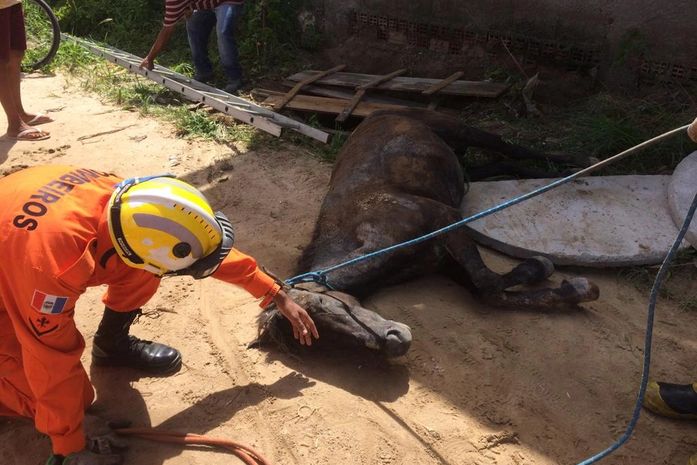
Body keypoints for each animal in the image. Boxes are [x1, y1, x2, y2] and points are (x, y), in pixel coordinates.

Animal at [256, 109, 599, 357]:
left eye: (323, 305)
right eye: (319, 342)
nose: (396, 342)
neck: (366, 231)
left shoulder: (447, 220)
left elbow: (486, 282)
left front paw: (554, 274)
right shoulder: (443, 260)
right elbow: (488, 289)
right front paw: (566, 286)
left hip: (461, 129)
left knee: (513, 148)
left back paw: (581, 163)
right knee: (503, 165)